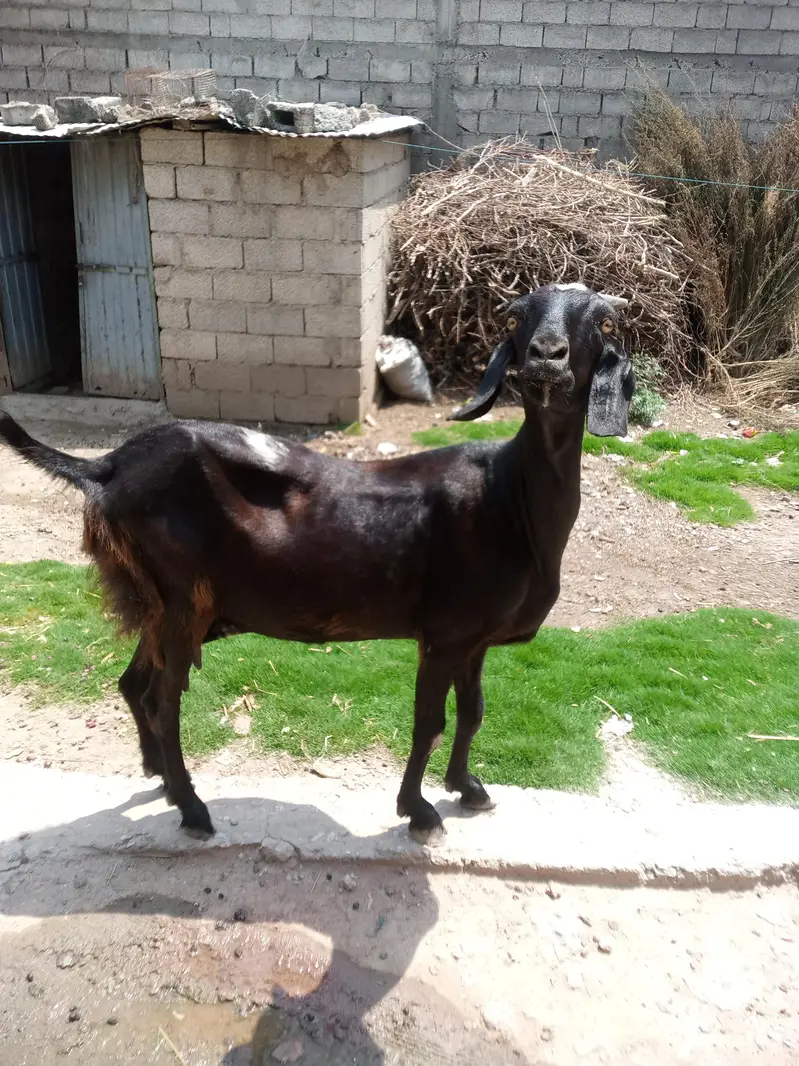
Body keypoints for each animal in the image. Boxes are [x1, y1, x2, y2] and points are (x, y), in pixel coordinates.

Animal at [0, 283, 634, 844]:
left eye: (600, 321)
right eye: (518, 317)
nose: (546, 357)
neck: (510, 497)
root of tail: (106, 467)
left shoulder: (474, 639)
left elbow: (473, 711)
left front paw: (468, 788)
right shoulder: (444, 633)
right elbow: (429, 721)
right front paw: (419, 811)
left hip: (165, 605)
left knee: (134, 683)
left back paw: (161, 779)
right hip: (182, 599)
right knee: (161, 698)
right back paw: (194, 808)